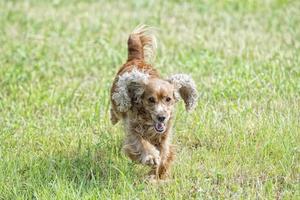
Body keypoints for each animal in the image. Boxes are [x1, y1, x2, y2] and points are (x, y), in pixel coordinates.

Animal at [109, 25, 198, 180]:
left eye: (168, 99)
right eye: (151, 100)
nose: (161, 117)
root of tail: (135, 58)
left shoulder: (164, 137)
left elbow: (164, 155)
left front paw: (156, 175)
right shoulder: (133, 131)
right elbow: (141, 144)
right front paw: (151, 157)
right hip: (117, 99)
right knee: (116, 109)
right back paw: (113, 117)